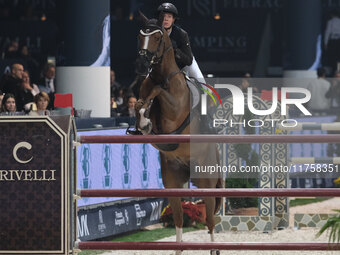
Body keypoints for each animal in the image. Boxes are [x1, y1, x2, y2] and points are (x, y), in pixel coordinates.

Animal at [134, 11, 224, 255]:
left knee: (210, 219)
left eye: (157, 37)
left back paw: (214, 249)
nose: (142, 63)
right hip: (173, 181)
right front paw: (143, 120)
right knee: (179, 218)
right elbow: (141, 102)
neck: (161, 74)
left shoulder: (174, 106)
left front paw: (146, 114)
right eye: (140, 36)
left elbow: (159, 92)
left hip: (206, 179)